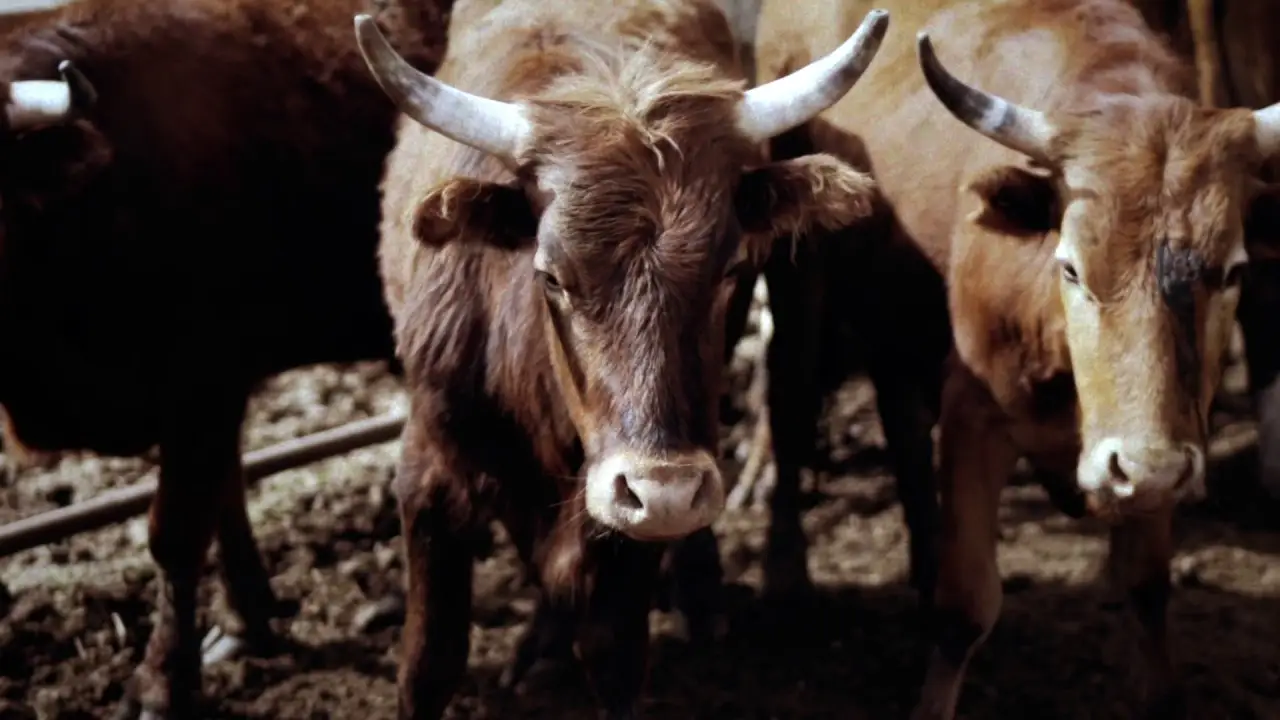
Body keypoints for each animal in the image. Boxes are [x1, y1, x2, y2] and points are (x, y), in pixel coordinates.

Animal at [0, 0, 454, 717]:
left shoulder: (200, 385)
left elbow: (177, 532)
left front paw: (163, 682)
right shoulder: (212, 397)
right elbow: (225, 502)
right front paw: (246, 623)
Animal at [355, 0, 891, 715]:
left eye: (730, 269)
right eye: (551, 275)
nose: (665, 492)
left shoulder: (627, 522)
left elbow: (613, 654)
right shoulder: (429, 472)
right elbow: (429, 662)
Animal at [755, 0, 1280, 717]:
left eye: (1231, 272)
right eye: (1072, 268)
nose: (1143, 466)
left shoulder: (1168, 447)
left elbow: (1147, 589)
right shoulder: (976, 414)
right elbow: (966, 606)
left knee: (899, 411)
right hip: (799, 271)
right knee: (791, 392)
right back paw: (787, 584)